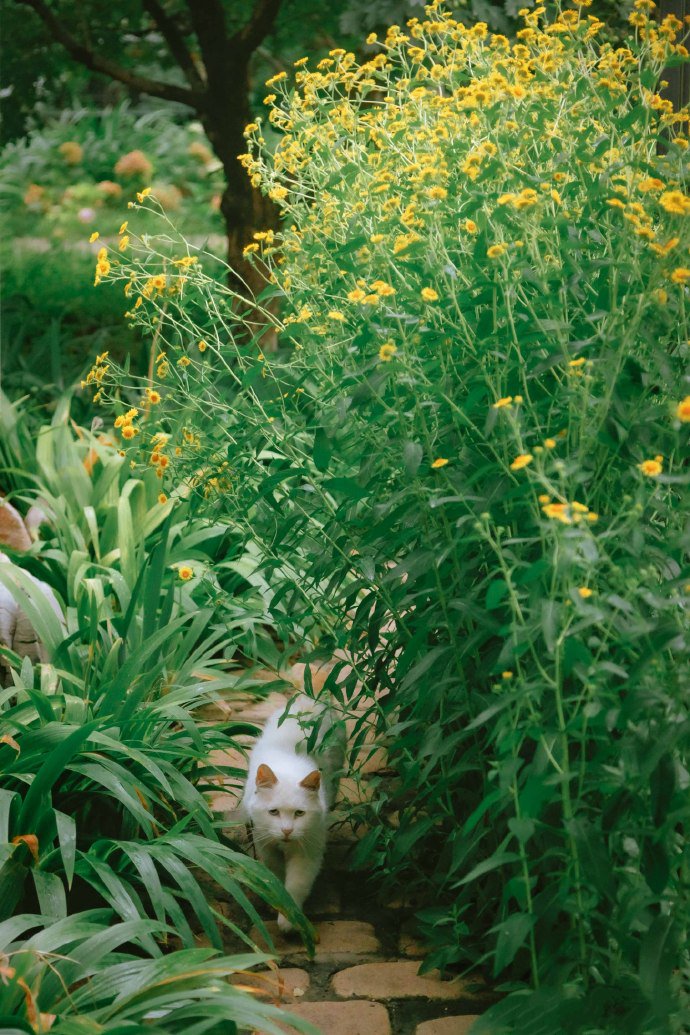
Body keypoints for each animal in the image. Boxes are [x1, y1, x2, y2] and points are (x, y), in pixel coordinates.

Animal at [242, 695, 345, 931]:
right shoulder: (266, 845)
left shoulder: (308, 850)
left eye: (299, 813)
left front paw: (289, 920)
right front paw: (278, 905)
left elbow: (297, 884)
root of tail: (310, 699)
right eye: (273, 812)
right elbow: (277, 875)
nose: (287, 831)